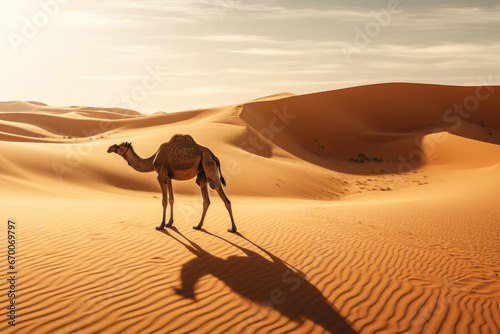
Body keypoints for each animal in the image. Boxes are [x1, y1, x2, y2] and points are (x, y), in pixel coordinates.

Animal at [106, 134, 238, 234]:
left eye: (118, 146)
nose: (109, 148)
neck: (152, 160)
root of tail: (214, 156)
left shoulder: (160, 175)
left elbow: (164, 200)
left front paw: (161, 225)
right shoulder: (169, 177)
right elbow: (171, 199)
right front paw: (169, 223)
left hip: (209, 167)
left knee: (224, 198)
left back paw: (233, 229)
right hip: (202, 174)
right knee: (206, 200)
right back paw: (198, 226)